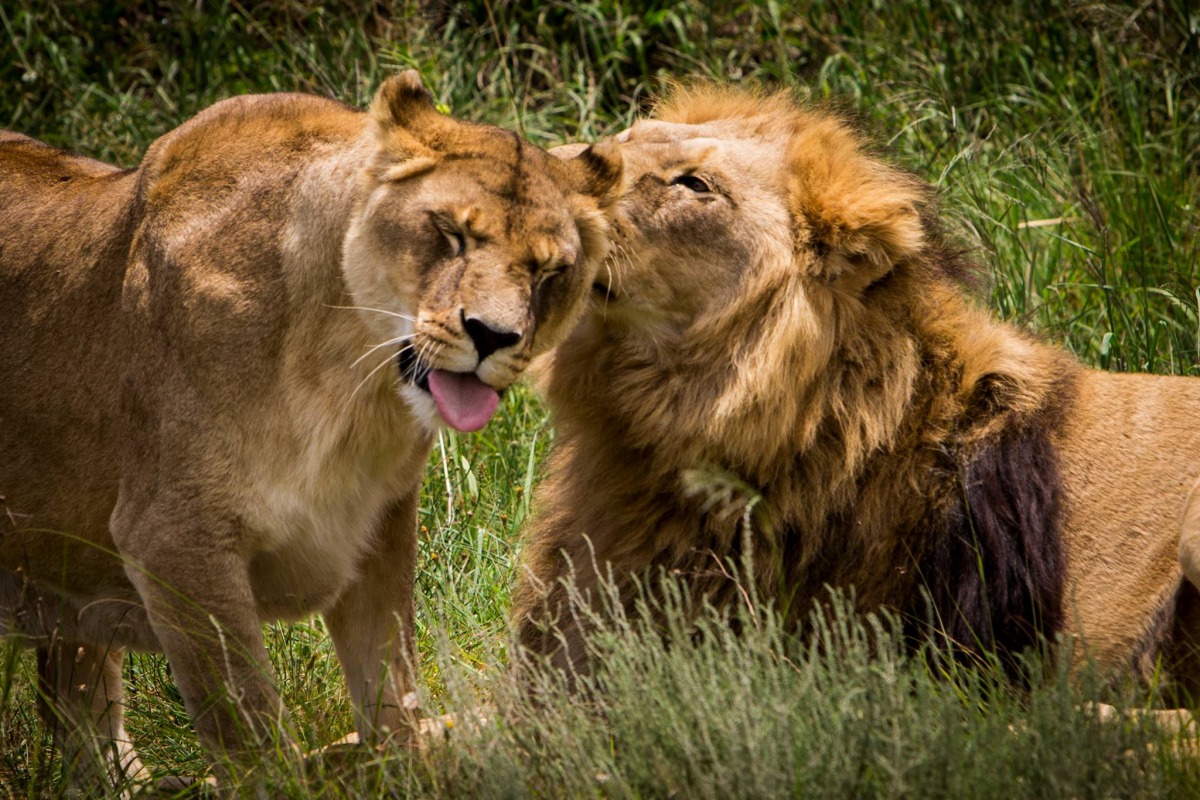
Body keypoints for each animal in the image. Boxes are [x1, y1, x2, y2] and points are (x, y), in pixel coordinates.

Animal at [0, 70, 620, 791]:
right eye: (450, 233)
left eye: (550, 272)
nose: (493, 336)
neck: (352, 376)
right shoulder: (173, 539)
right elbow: (252, 732)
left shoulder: (376, 522)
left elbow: (391, 686)